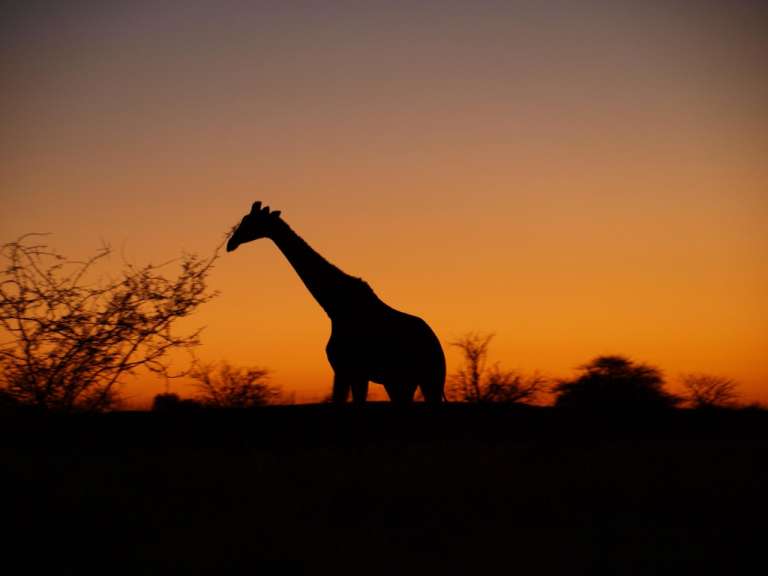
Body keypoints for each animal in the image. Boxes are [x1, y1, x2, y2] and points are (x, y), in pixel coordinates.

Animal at [226, 201, 446, 405]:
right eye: (244, 219)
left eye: (251, 221)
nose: (231, 244)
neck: (335, 307)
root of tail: (437, 345)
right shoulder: (345, 371)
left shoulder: (353, 370)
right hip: (400, 382)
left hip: (429, 380)